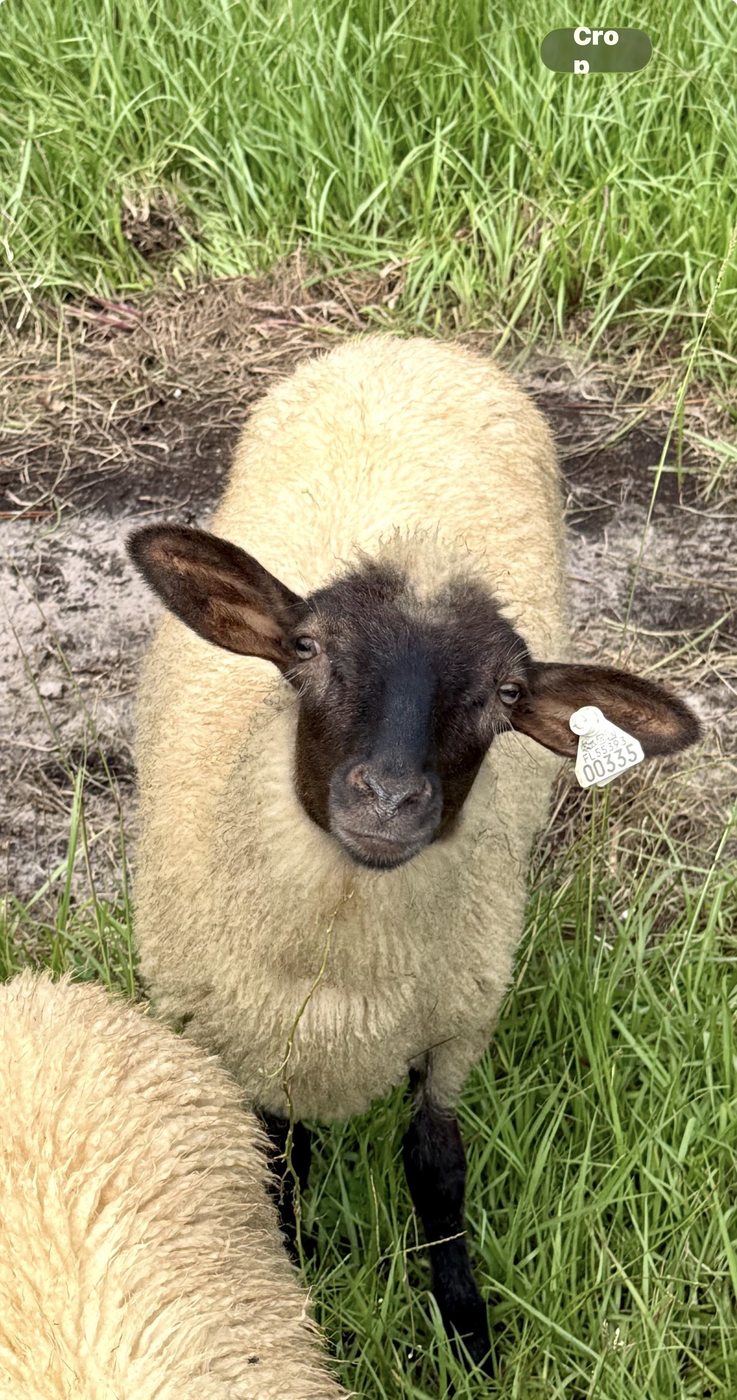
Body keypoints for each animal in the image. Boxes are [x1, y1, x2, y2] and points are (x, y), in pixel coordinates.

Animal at [127, 334, 700, 1371]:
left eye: (507, 695)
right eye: (304, 648)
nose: (391, 799)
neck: (344, 962)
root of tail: (407, 344)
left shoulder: (459, 1019)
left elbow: (437, 1168)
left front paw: (468, 1336)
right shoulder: (250, 1039)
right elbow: (276, 1165)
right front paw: (295, 1282)